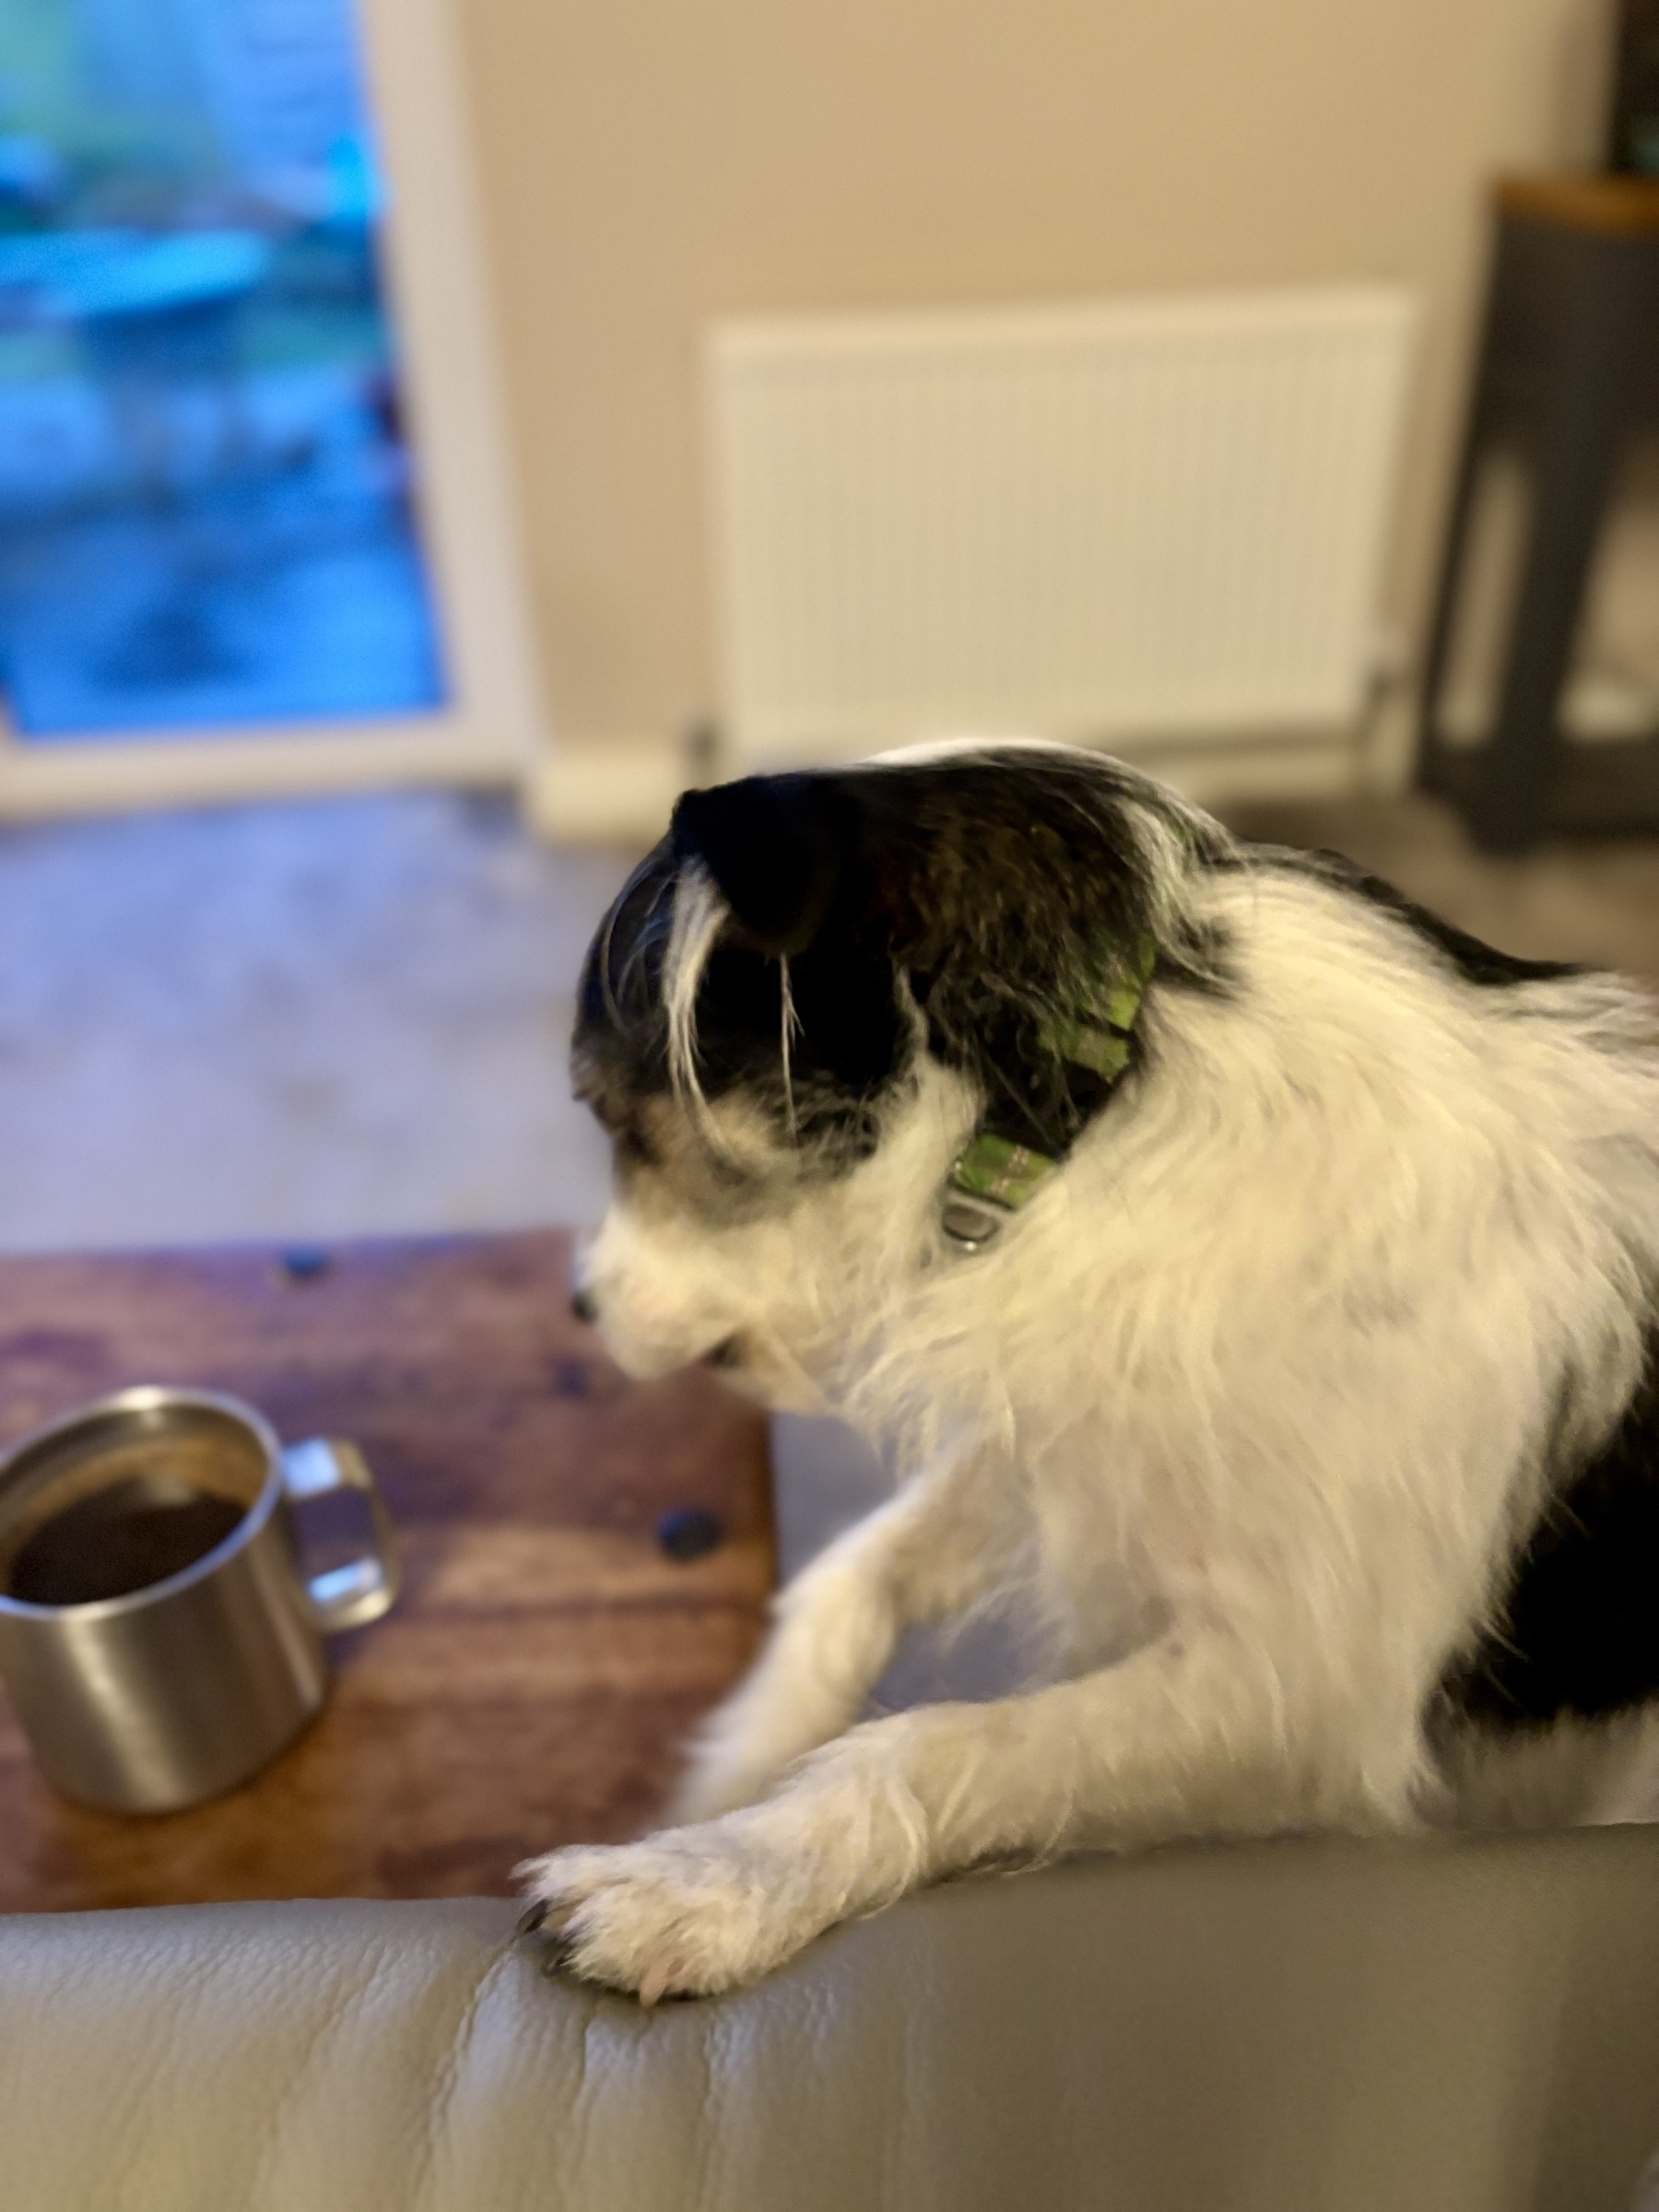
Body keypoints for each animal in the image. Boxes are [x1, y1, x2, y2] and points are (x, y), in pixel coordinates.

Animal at [520, 738, 1659, 2008]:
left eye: (620, 1122)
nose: (579, 1304)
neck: (1082, 1122)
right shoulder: (1085, 1441)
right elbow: (851, 1578)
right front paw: (728, 1772)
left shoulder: (1304, 1696)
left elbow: (934, 1742)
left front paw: (712, 1879)